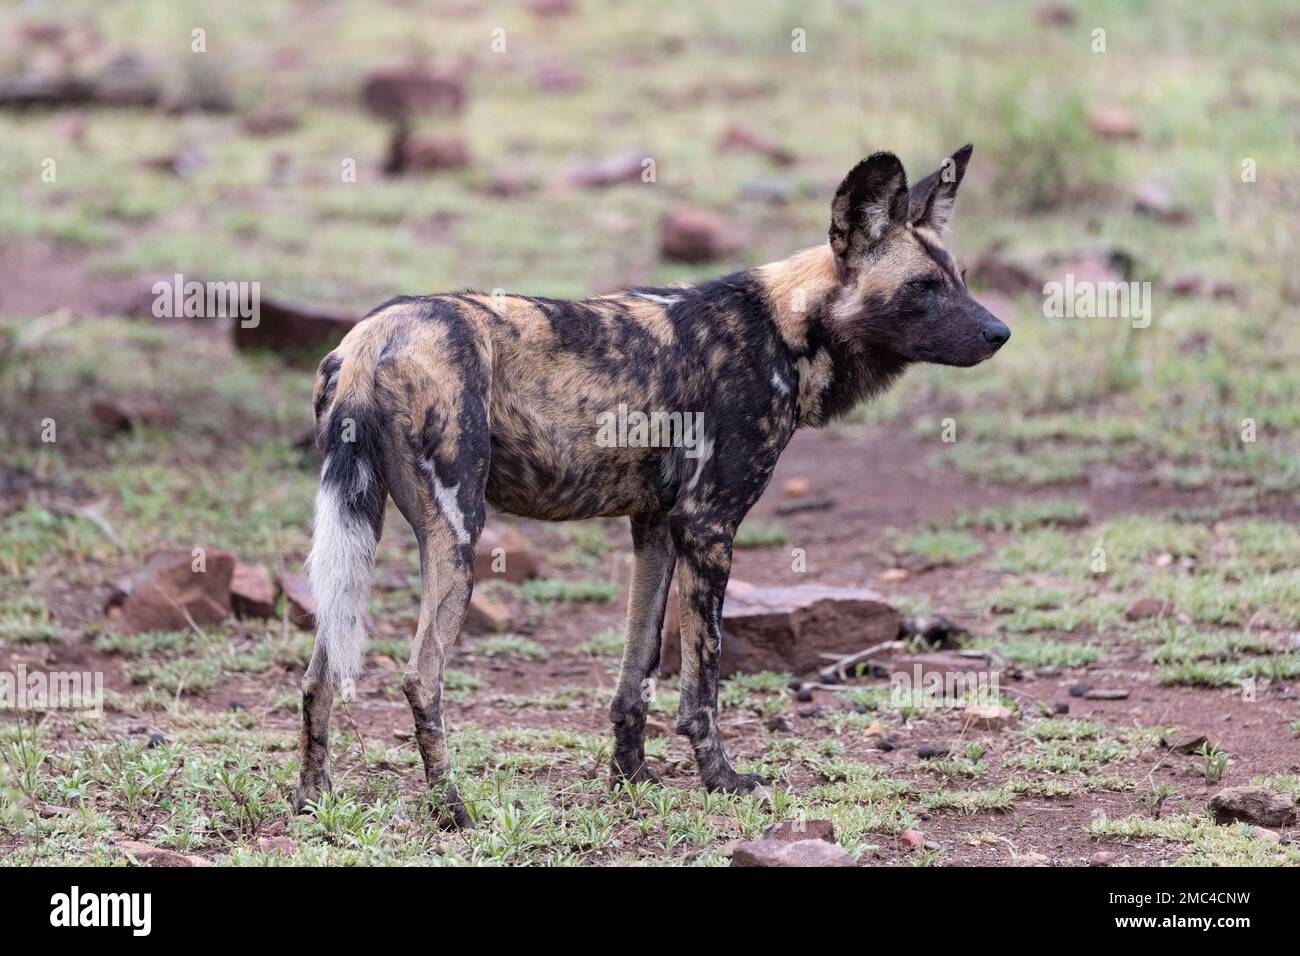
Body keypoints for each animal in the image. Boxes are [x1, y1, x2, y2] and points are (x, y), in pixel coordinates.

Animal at [299, 145, 1008, 827]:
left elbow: (635, 675)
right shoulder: (710, 526)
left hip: (361, 528)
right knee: (421, 677)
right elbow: (704, 683)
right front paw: (722, 780)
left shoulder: (657, 528)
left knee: (319, 674)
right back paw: (451, 808)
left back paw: (313, 800)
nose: (1000, 332)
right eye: (921, 287)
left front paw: (630, 777)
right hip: (457, 532)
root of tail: (371, 337)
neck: (787, 330)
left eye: (961, 280)